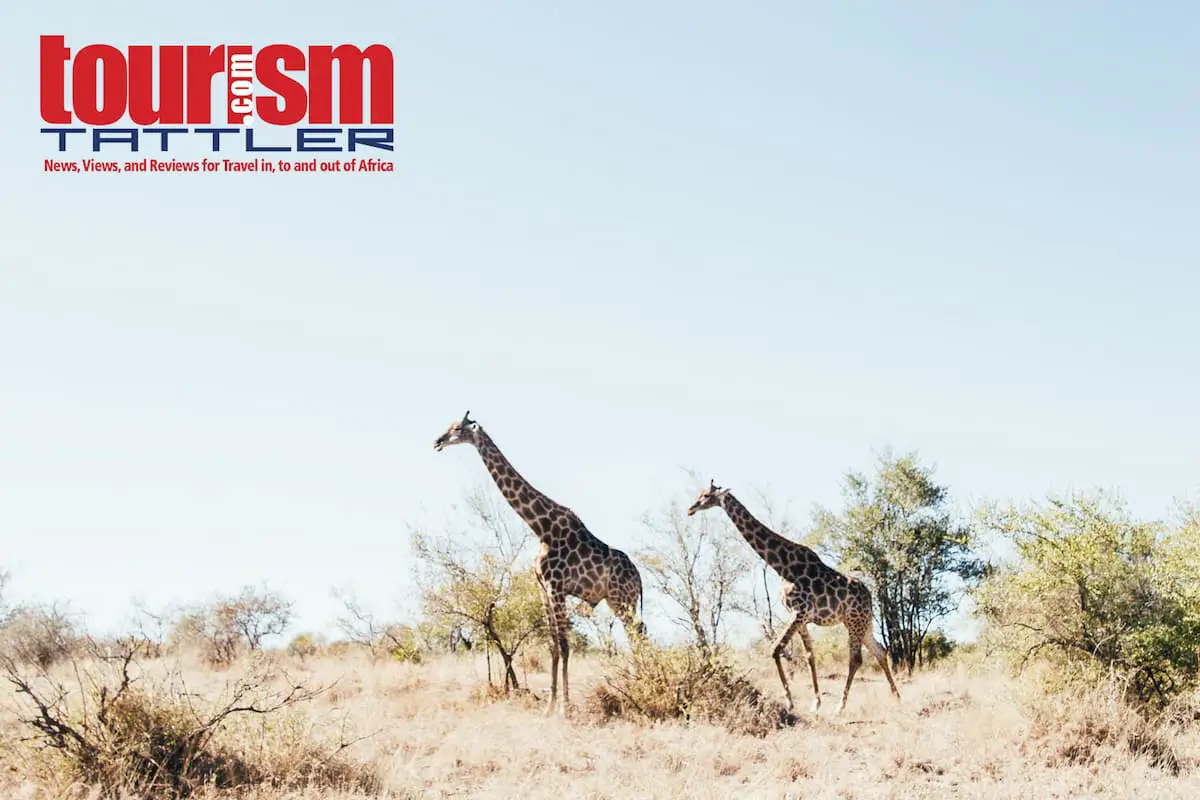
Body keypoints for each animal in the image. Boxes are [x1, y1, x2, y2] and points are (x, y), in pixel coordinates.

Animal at [434, 410, 648, 714]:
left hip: (622, 599)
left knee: (638, 635)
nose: (437, 441)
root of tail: (639, 577)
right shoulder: (543, 588)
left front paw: (564, 709)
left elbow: (566, 645)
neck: (541, 527)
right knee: (638, 634)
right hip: (617, 600)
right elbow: (553, 646)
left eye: (457, 429)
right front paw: (549, 706)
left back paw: (644, 682)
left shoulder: (556, 587)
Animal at [691, 479, 897, 714]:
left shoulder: (799, 612)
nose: (691, 509)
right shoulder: (802, 618)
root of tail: (869, 596)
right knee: (880, 651)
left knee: (856, 659)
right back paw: (896, 697)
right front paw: (815, 703)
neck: (782, 566)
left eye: (706, 496)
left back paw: (840, 707)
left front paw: (790, 701)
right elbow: (809, 657)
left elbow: (775, 649)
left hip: (854, 621)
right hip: (862, 622)